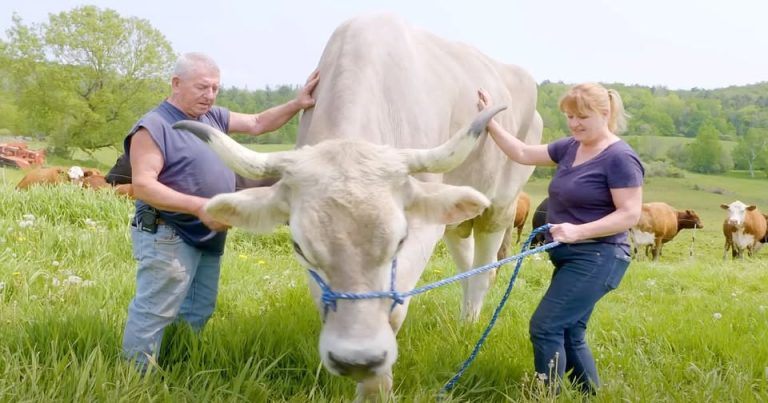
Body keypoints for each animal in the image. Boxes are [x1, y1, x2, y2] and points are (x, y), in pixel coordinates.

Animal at [176, 14, 544, 402]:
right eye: (300, 248)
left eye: (399, 241)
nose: (357, 359)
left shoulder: (422, 225)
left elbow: (394, 312)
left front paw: (377, 388)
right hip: (455, 216)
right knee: (467, 262)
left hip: (500, 205)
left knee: (484, 270)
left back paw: (470, 327)